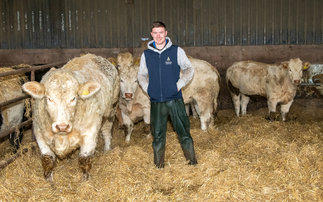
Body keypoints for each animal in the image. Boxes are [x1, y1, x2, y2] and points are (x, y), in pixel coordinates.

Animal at [22, 54, 120, 183]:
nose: (62, 126)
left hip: (111, 109)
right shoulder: (39, 133)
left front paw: (84, 182)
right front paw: (48, 181)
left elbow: (85, 159)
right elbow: (47, 159)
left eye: (73, 98)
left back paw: (107, 149)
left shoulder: (90, 132)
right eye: (49, 98)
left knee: (107, 131)